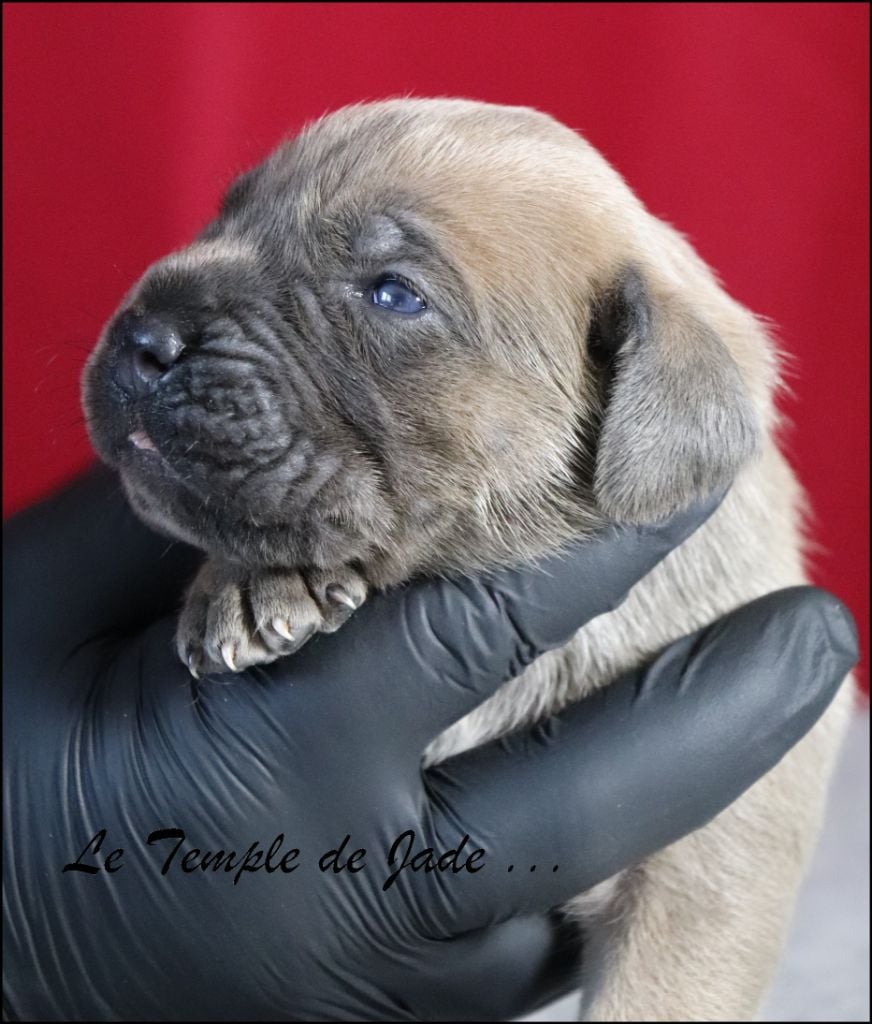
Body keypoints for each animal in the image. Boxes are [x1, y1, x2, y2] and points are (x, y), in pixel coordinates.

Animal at [83, 99, 851, 1019]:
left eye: (393, 294)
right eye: (225, 217)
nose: (143, 336)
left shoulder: (712, 865)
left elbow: (662, 991)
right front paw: (247, 583)